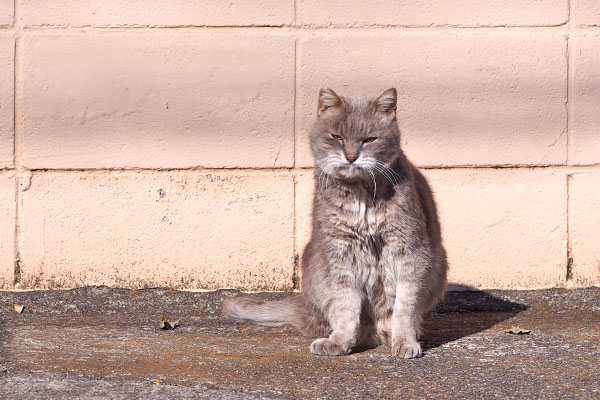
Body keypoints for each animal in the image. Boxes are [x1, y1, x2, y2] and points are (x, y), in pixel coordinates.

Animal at [223, 88, 448, 360]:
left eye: (369, 139)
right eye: (337, 137)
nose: (351, 157)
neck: (360, 194)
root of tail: (303, 305)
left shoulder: (409, 249)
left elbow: (405, 305)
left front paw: (404, 341)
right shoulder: (339, 252)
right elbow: (345, 305)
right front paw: (340, 341)